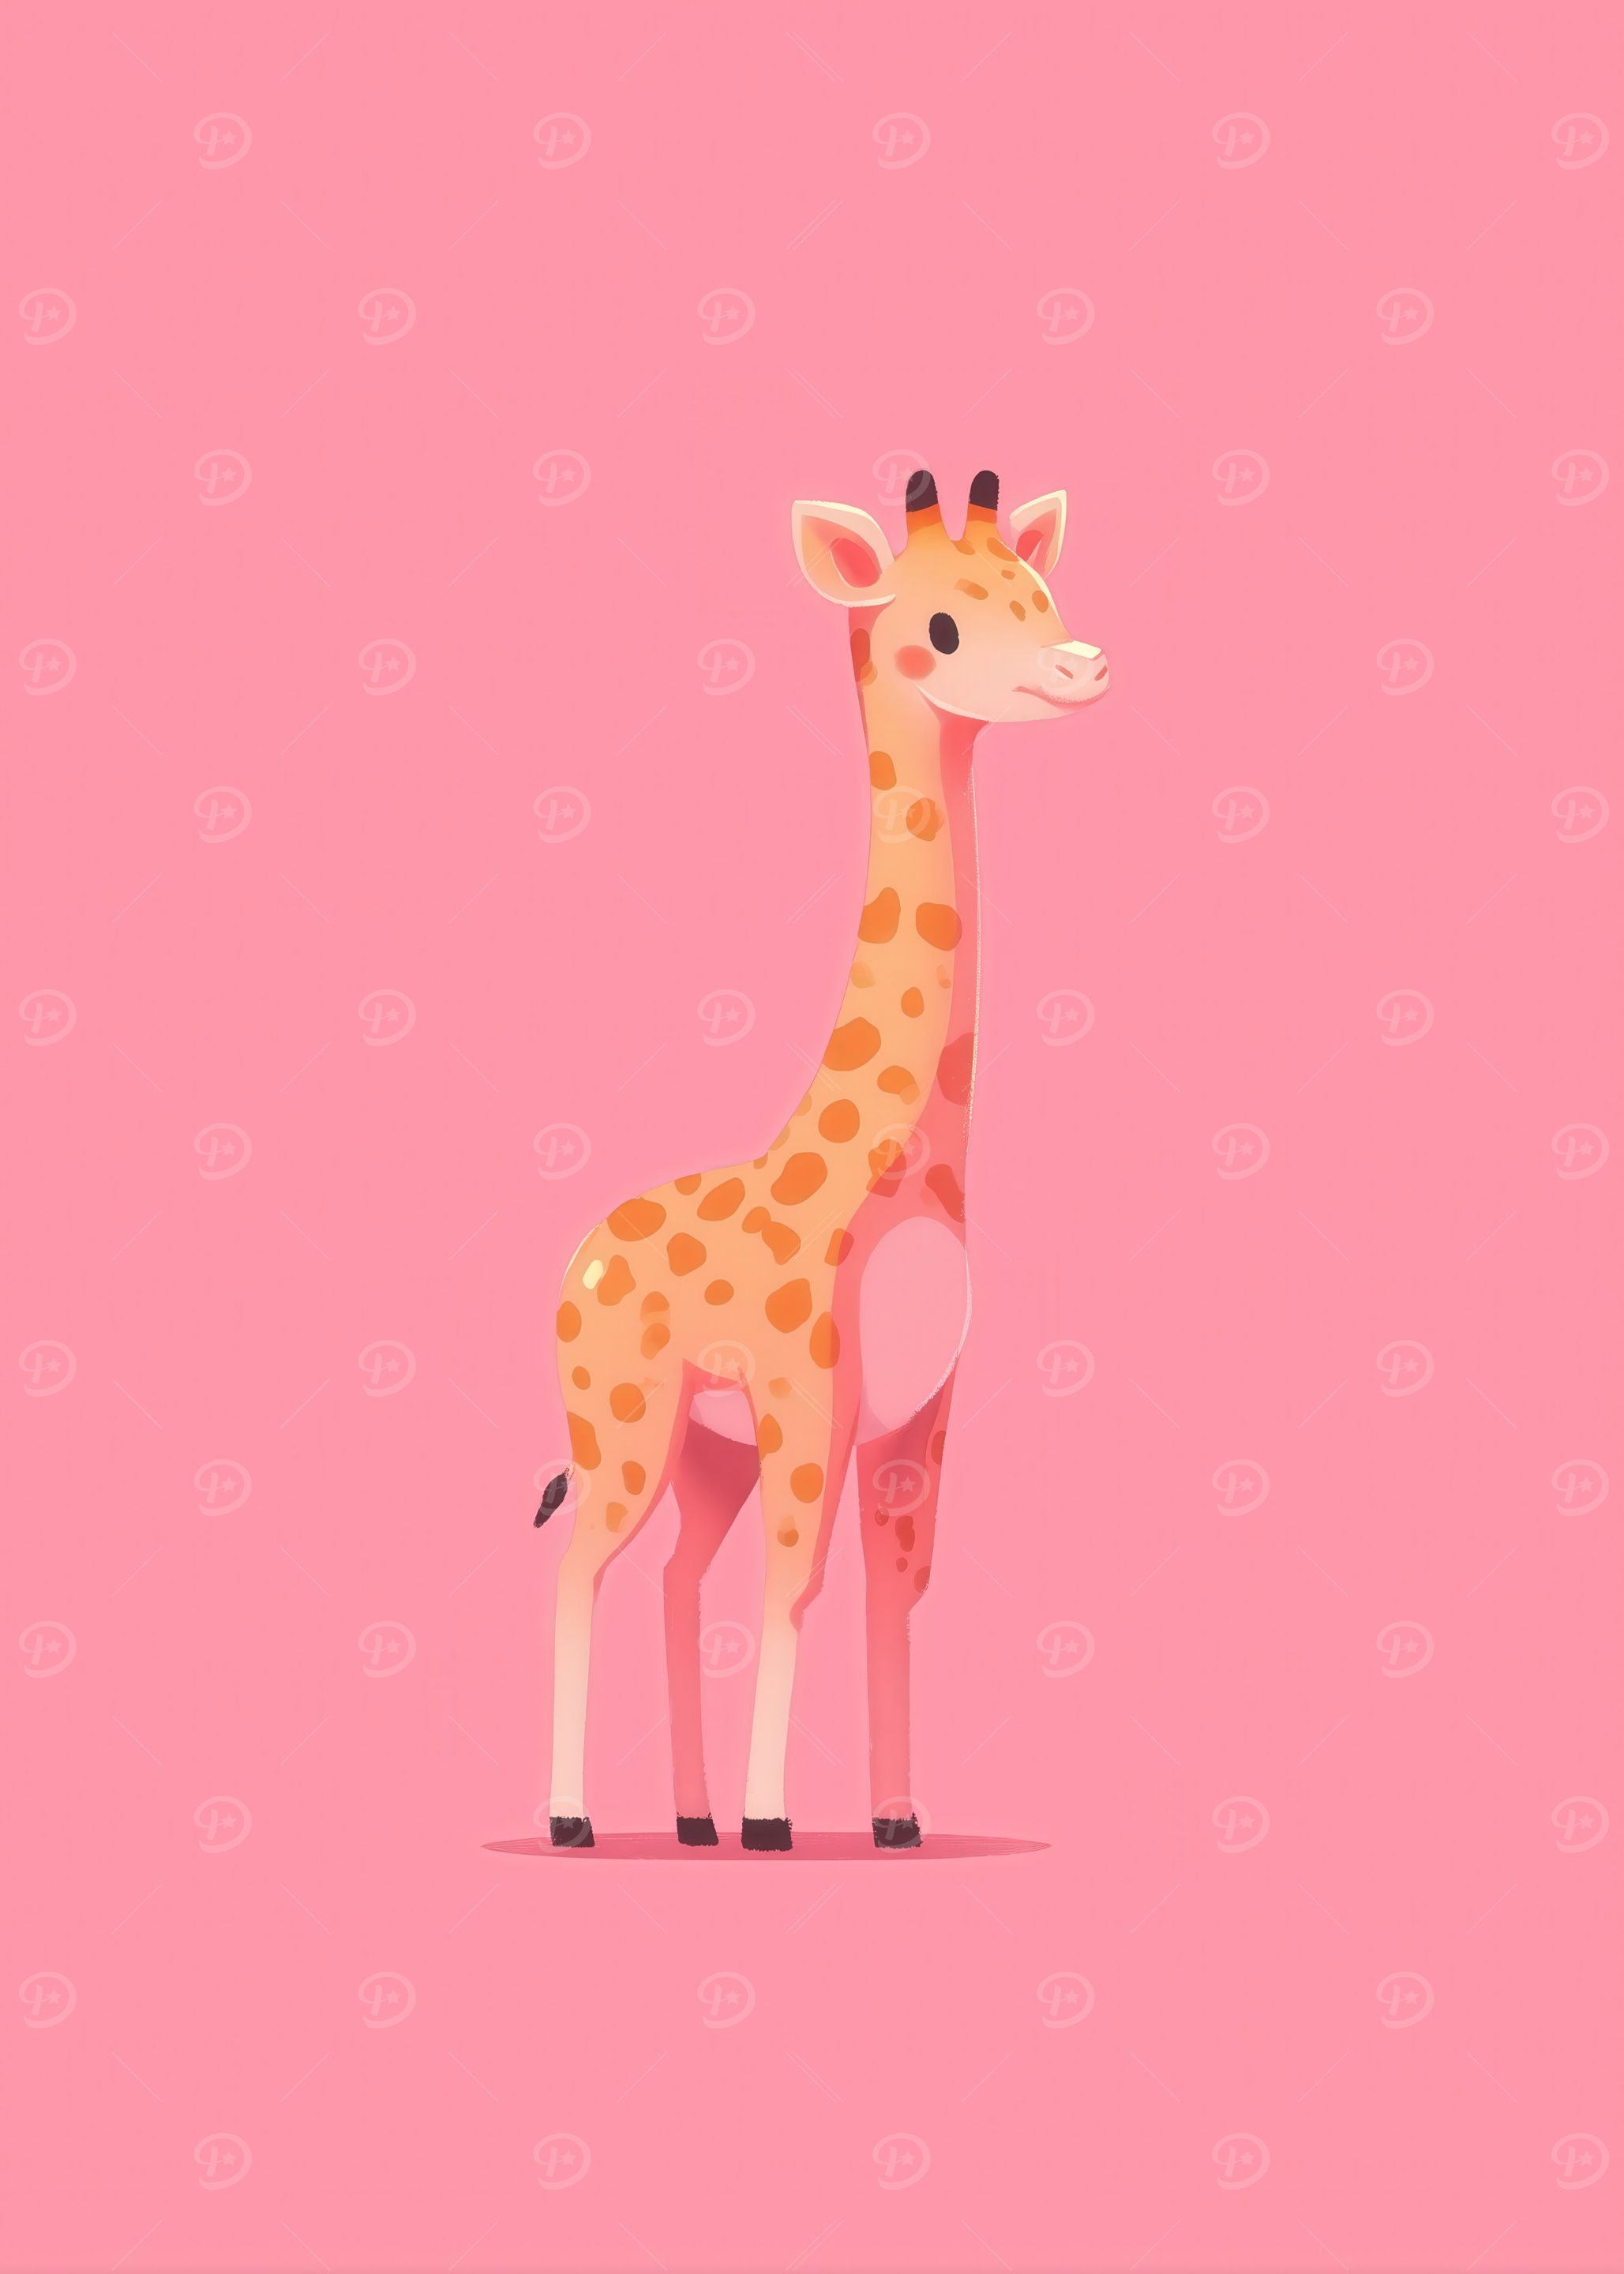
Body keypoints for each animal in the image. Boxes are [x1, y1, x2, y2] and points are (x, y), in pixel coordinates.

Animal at [537, 467, 1110, 1851]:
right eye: (941, 628)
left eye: (1042, 592)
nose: (1081, 664)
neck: (894, 1167)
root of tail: (580, 1258)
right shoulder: (811, 1389)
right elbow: (794, 1588)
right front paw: (774, 1820)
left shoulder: (919, 1405)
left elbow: (893, 1593)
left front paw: (895, 1820)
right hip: (618, 1419)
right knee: (581, 1566)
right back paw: (578, 1818)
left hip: (707, 1449)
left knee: (674, 1571)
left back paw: (688, 1820)